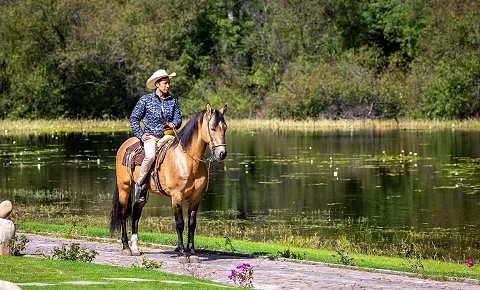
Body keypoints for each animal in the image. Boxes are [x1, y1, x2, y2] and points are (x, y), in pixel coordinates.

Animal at [109, 103, 228, 258]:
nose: (222, 154)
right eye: (212, 128)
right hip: (124, 186)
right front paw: (182, 252)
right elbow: (180, 223)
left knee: (136, 212)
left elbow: (192, 224)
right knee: (123, 213)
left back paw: (135, 247)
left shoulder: (196, 197)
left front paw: (192, 251)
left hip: (143, 191)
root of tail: (125, 145)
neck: (187, 160)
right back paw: (126, 247)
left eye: (225, 128)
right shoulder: (176, 196)